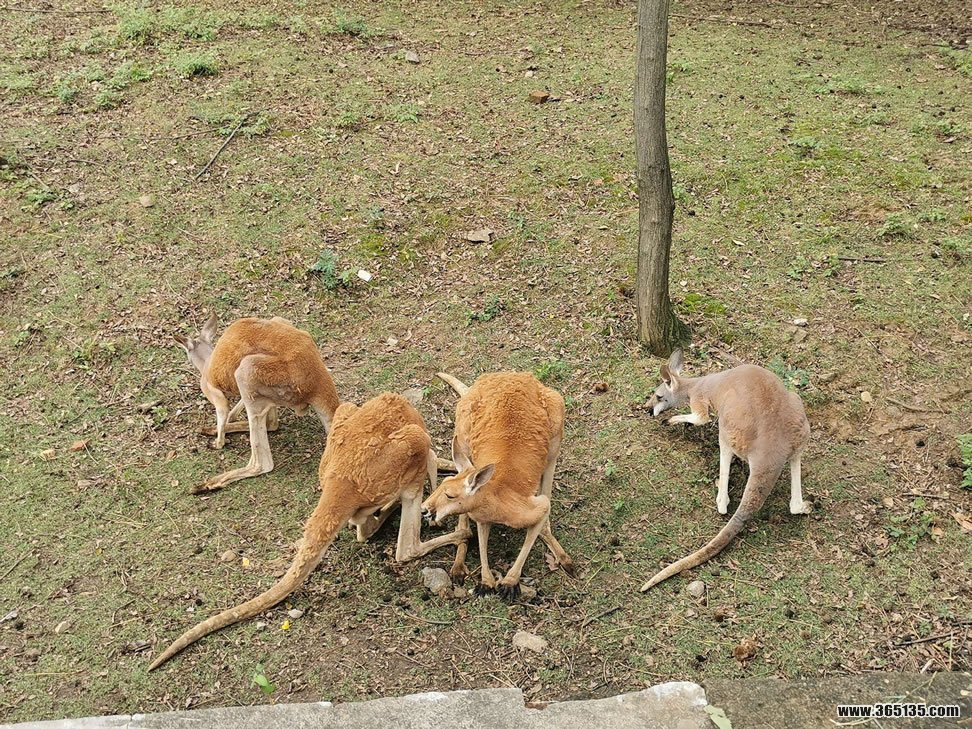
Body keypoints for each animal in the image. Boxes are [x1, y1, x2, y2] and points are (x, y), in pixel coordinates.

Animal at [148, 392, 472, 670]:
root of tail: (341, 480)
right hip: (410, 446)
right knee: (404, 547)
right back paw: (453, 533)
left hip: (346, 421)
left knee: (362, 527)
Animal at [173, 314, 340, 494]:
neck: (206, 361)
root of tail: (318, 380)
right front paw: (229, 421)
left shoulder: (210, 388)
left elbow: (223, 410)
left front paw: (219, 442)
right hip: (276, 337)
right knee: (271, 424)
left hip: (250, 372)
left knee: (263, 464)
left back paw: (209, 483)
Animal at [422, 372, 574, 600]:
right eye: (441, 487)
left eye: (449, 495)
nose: (423, 509)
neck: (498, 491)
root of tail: (506, 374)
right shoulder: (480, 513)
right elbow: (481, 538)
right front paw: (486, 582)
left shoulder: (536, 506)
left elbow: (539, 521)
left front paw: (510, 582)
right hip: (463, 428)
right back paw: (458, 565)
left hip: (556, 423)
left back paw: (563, 558)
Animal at [640, 350, 811, 592]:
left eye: (658, 396)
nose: (646, 410)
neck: (695, 384)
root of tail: (769, 453)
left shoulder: (700, 400)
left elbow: (700, 418)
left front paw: (672, 420)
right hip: (799, 421)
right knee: (794, 490)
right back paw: (804, 506)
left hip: (729, 426)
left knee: (723, 468)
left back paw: (721, 499)